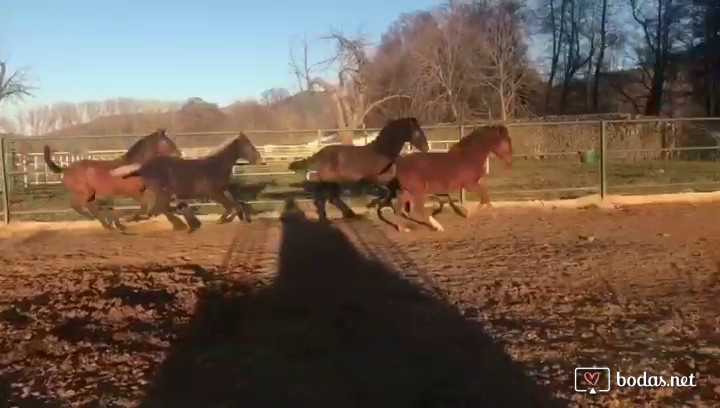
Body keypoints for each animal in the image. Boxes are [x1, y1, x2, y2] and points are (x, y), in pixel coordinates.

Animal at [43, 128, 180, 230]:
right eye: (167, 142)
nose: (179, 155)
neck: (133, 165)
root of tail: (66, 169)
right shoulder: (133, 192)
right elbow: (144, 205)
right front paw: (132, 218)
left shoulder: (144, 190)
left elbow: (152, 202)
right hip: (84, 192)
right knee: (77, 205)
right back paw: (102, 221)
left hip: (91, 194)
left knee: (93, 207)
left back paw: (111, 225)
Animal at [111, 133, 268, 233]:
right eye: (249, 146)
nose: (262, 161)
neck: (216, 166)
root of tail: (143, 167)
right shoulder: (214, 193)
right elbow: (231, 207)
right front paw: (223, 220)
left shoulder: (223, 190)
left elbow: (239, 204)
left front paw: (243, 218)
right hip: (162, 193)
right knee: (158, 209)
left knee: (155, 210)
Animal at [286, 116, 430, 222]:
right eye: (417, 132)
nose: (426, 148)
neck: (383, 153)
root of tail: (319, 154)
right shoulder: (375, 179)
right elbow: (386, 192)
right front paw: (371, 205)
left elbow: (392, 191)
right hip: (331, 181)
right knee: (325, 199)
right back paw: (332, 218)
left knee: (330, 198)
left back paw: (348, 215)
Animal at [372, 124, 512, 233]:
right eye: (505, 142)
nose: (509, 160)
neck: (468, 157)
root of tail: (399, 162)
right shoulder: (469, 184)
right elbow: (484, 195)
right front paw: (480, 212)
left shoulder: (476, 182)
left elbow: (485, 194)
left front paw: (475, 211)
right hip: (418, 189)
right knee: (418, 208)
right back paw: (438, 227)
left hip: (408, 190)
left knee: (398, 207)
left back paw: (403, 228)